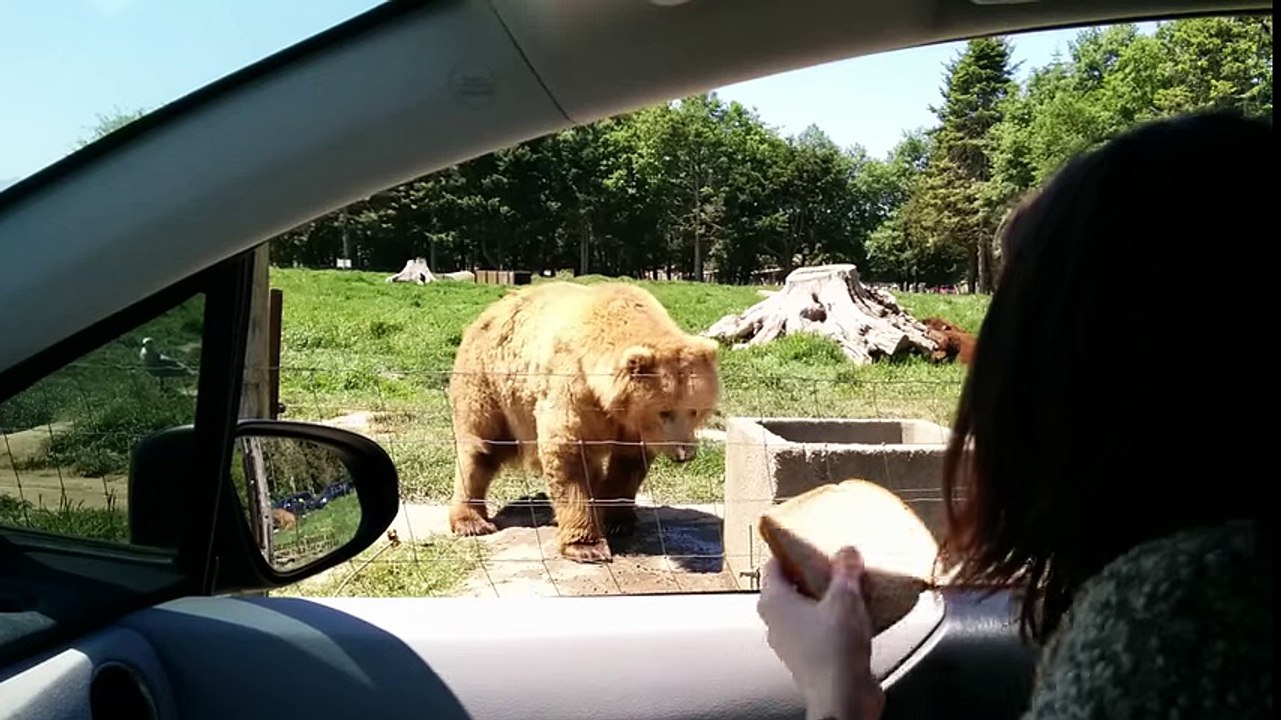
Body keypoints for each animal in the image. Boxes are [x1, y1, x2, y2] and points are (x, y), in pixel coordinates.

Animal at [447, 281, 721, 564]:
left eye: (694, 410)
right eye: (664, 411)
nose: (684, 453)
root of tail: (488, 311)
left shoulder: (631, 425)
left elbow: (628, 463)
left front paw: (617, 520)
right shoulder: (572, 388)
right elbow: (567, 454)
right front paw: (587, 546)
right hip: (489, 383)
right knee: (481, 448)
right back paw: (471, 521)